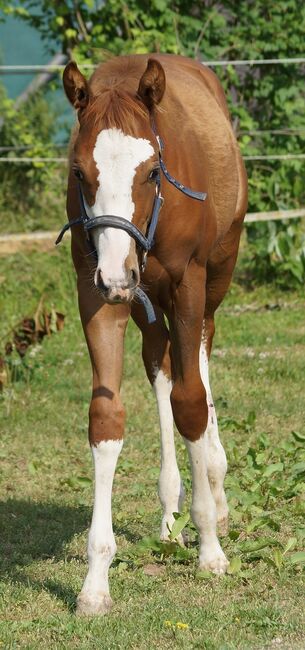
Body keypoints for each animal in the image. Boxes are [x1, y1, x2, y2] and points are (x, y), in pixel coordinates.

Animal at [60, 54, 247, 612]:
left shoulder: (187, 284)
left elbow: (191, 403)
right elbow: (107, 419)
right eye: (79, 172)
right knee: (162, 364)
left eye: (152, 172)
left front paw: (210, 548)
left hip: (214, 277)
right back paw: (169, 515)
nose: (118, 276)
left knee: (199, 358)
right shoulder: (97, 292)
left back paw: (215, 487)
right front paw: (95, 583)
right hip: (144, 302)